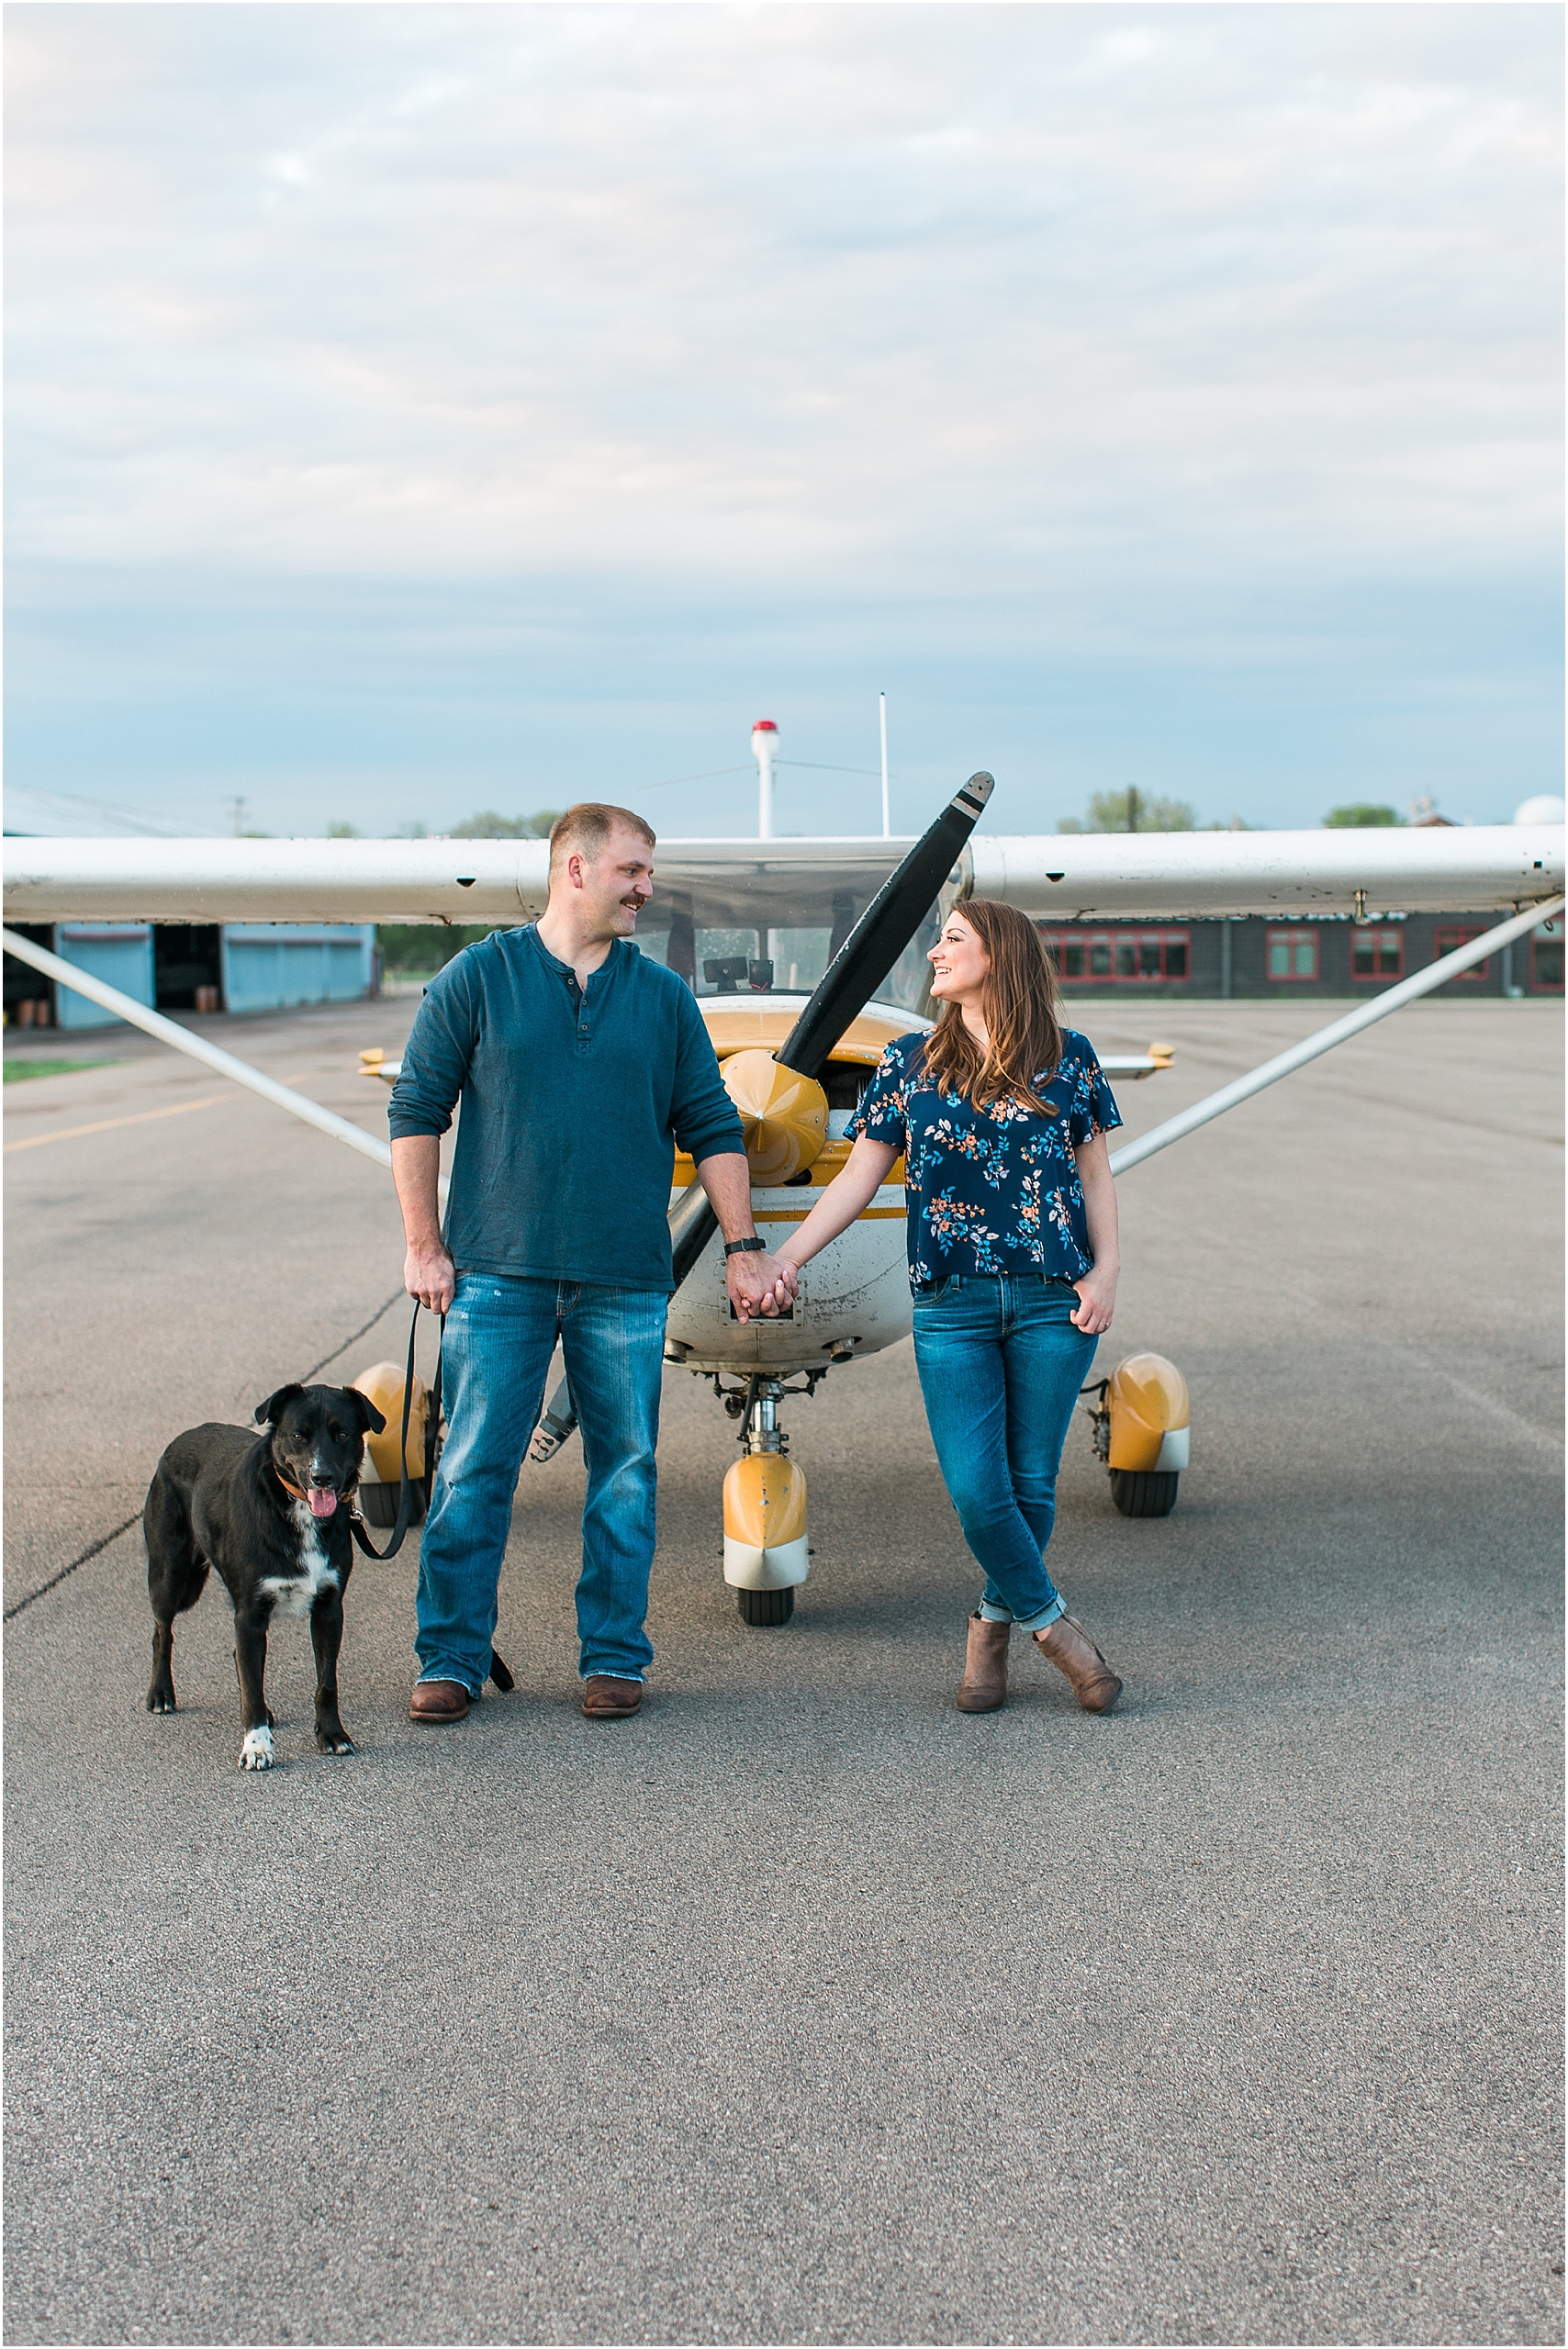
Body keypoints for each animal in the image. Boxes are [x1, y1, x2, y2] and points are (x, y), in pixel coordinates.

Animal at [143, 1381, 385, 1766]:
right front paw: (257, 1746)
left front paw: (332, 1734)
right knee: (161, 1633)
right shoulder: (251, 1613)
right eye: (298, 1435)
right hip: (172, 1578)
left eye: (343, 1434)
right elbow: (252, 1691)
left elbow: (326, 1682)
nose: (322, 1477)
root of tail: (182, 1438)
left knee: (237, 1658)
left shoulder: (329, 1609)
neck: (298, 1511)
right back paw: (161, 1693)